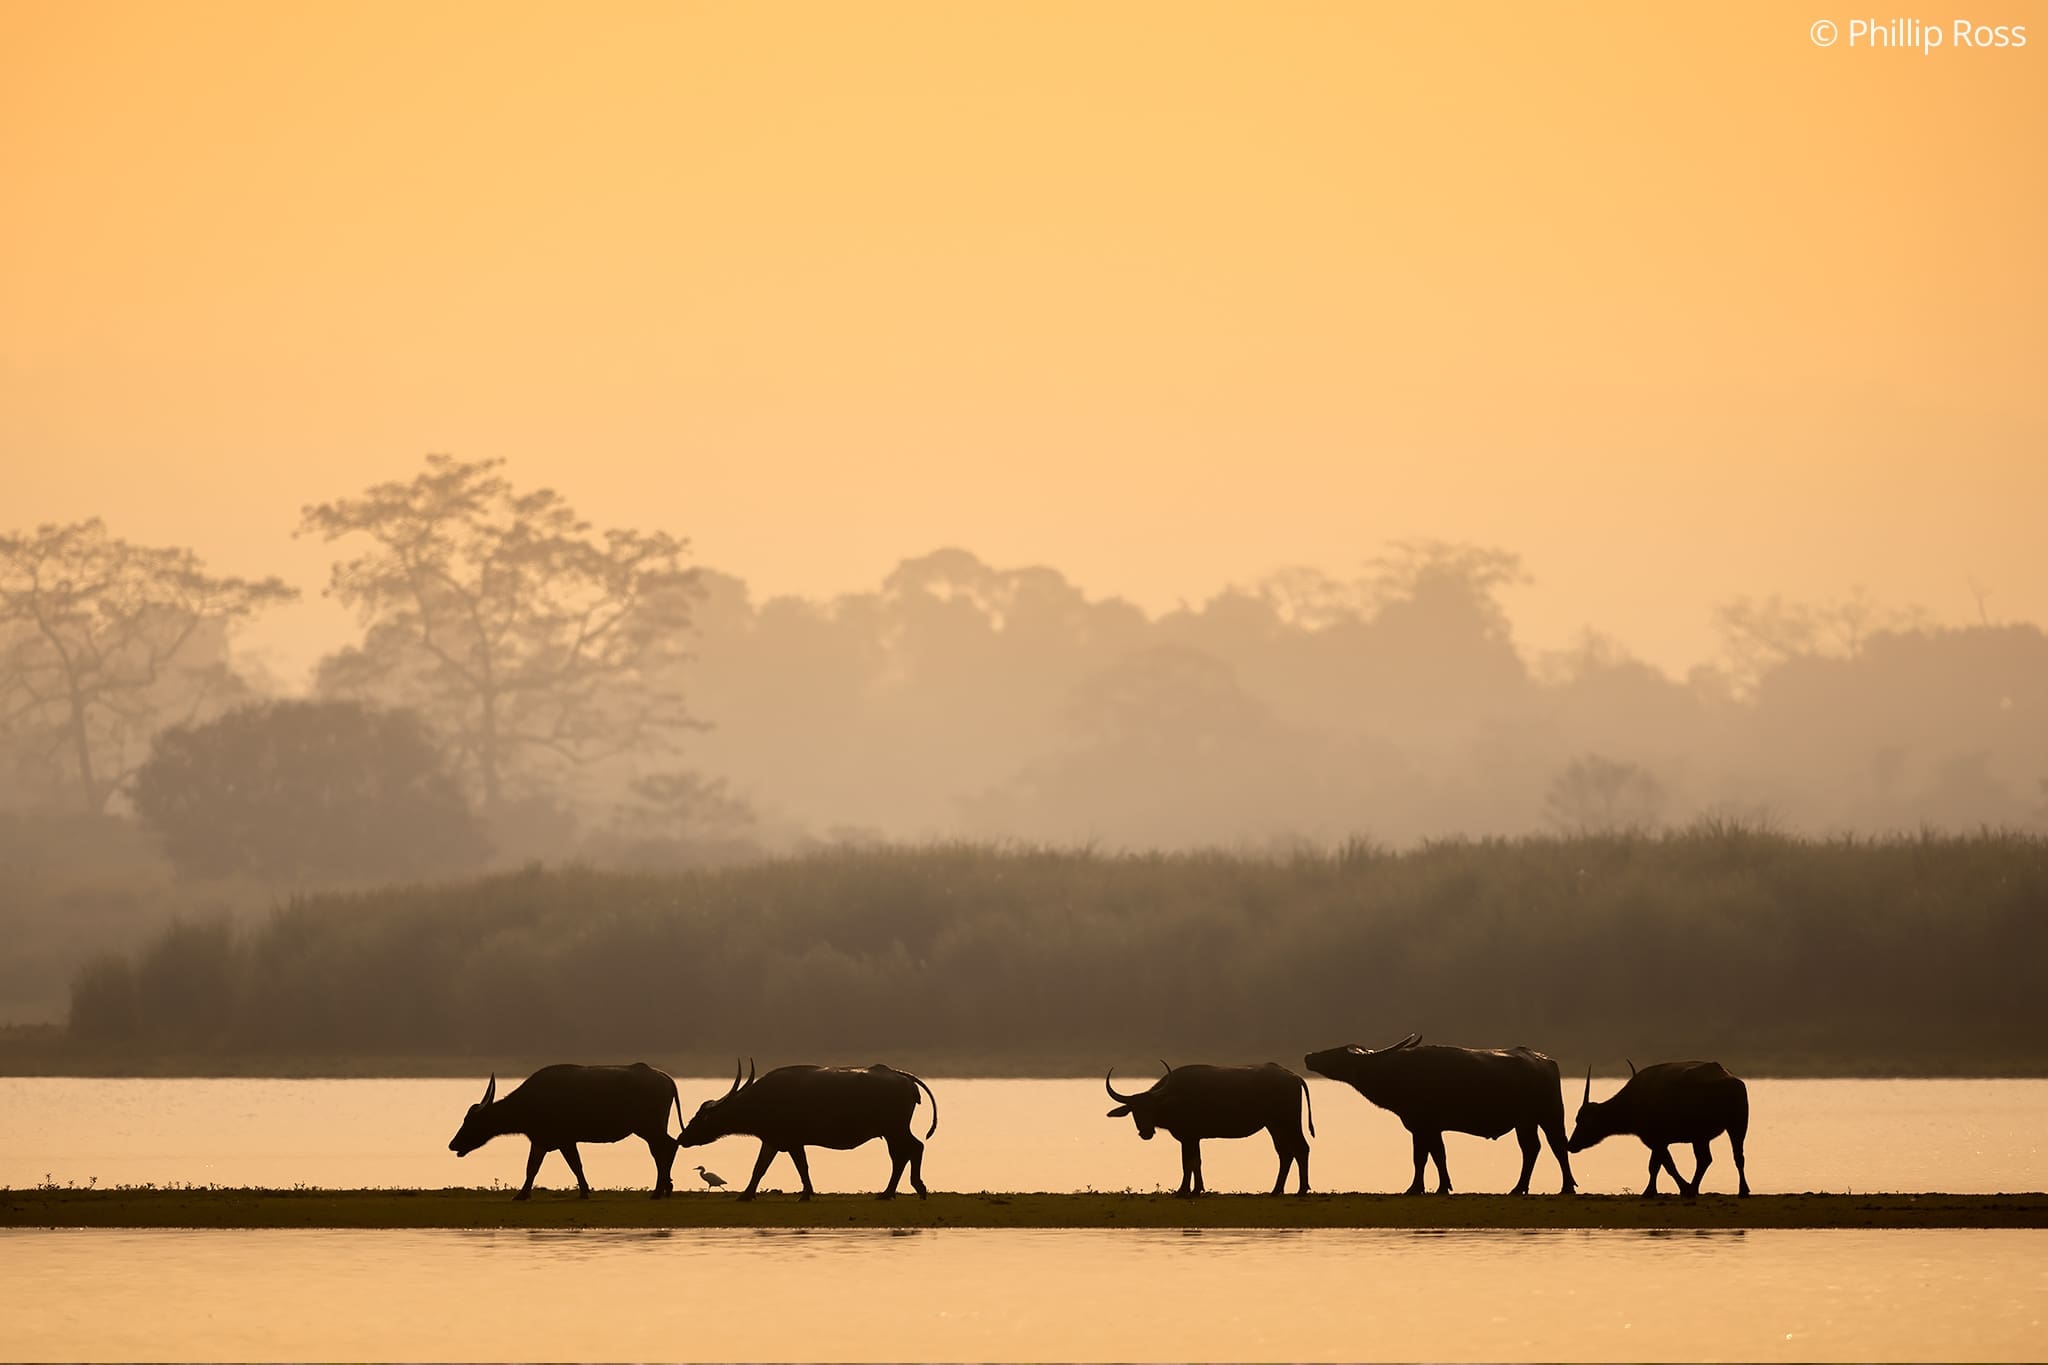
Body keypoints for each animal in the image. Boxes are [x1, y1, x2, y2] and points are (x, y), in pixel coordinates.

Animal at [444, 1064, 684, 1203]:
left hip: (648, 1127)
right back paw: (665, 1188)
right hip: (652, 1127)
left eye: (471, 1121)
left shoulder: (563, 1140)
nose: (453, 1144)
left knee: (666, 1147)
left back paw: (658, 1190)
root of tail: (665, 1078)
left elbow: (569, 1166)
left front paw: (521, 1195)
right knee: (666, 1147)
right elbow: (535, 1167)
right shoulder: (545, 1141)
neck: (529, 1103)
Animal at [688, 1064, 942, 1203]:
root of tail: (904, 1077)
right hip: (892, 1131)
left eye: (700, 1118)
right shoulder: (776, 1140)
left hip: (894, 1129)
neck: (762, 1100)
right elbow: (763, 1167)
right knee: (903, 1154)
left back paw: (908, 1188)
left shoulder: (788, 1141)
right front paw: (747, 1194)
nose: (683, 1137)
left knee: (912, 1149)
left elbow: (794, 1167)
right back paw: (891, 1192)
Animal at [1105, 1064, 1310, 1195]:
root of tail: (1293, 1076)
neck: (1175, 1097)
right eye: (1135, 1111)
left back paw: (1301, 1190)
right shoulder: (1192, 1138)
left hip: (1288, 1122)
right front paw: (1197, 1189)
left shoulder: (1189, 1137)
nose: (1146, 1132)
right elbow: (1195, 1162)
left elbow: (1189, 1163)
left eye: (1152, 1108)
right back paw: (1276, 1190)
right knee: (1285, 1153)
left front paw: (1183, 1191)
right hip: (1274, 1125)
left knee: (1301, 1149)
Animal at [1302, 1035, 1572, 1195]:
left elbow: (1424, 1157)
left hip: (1550, 1115)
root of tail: (1546, 1061)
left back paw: (1567, 1186)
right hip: (1525, 1122)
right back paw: (1519, 1187)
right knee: (1532, 1148)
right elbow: (1434, 1155)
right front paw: (1440, 1185)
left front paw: (1417, 1188)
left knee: (1557, 1146)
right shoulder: (1425, 1127)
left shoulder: (1425, 1125)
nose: (1308, 1056)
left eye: (1338, 1053)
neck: (1396, 1074)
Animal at [1564, 1055, 1744, 1195]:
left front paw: (1672, 1189)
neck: (1634, 1100)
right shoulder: (1658, 1142)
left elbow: (1664, 1165)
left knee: (1716, 1158)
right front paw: (1654, 1190)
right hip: (1717, 1132)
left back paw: (1695, 1189)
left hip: (1721, 1130)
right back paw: (1739, 1190)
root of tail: (1727, 1078)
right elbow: (1657, 1165)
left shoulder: (1656, 1140)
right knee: (1725, 1158)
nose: (1570, 1144)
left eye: (1582, 1121)